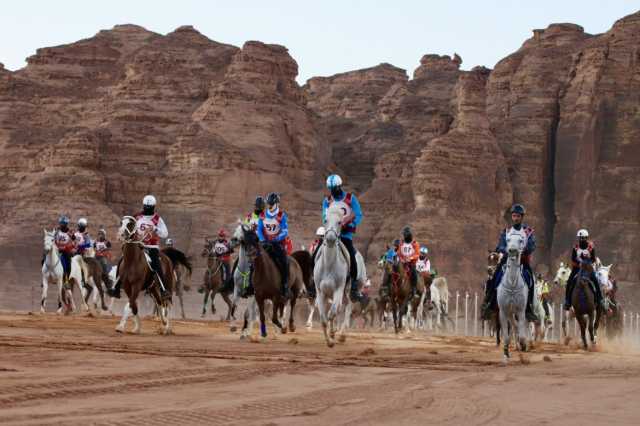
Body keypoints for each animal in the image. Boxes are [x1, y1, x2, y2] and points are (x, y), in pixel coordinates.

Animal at [316, 205, 356, 348]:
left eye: (340, 222)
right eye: (325, 220)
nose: (330, 239)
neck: (329, 264)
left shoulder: (338, 290)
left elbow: (331, 313)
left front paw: (332, 338)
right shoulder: (320, 292)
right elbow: (323, 318)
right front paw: (329, 340)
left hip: (348, 292)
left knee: (348, 308)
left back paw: (342, 335)